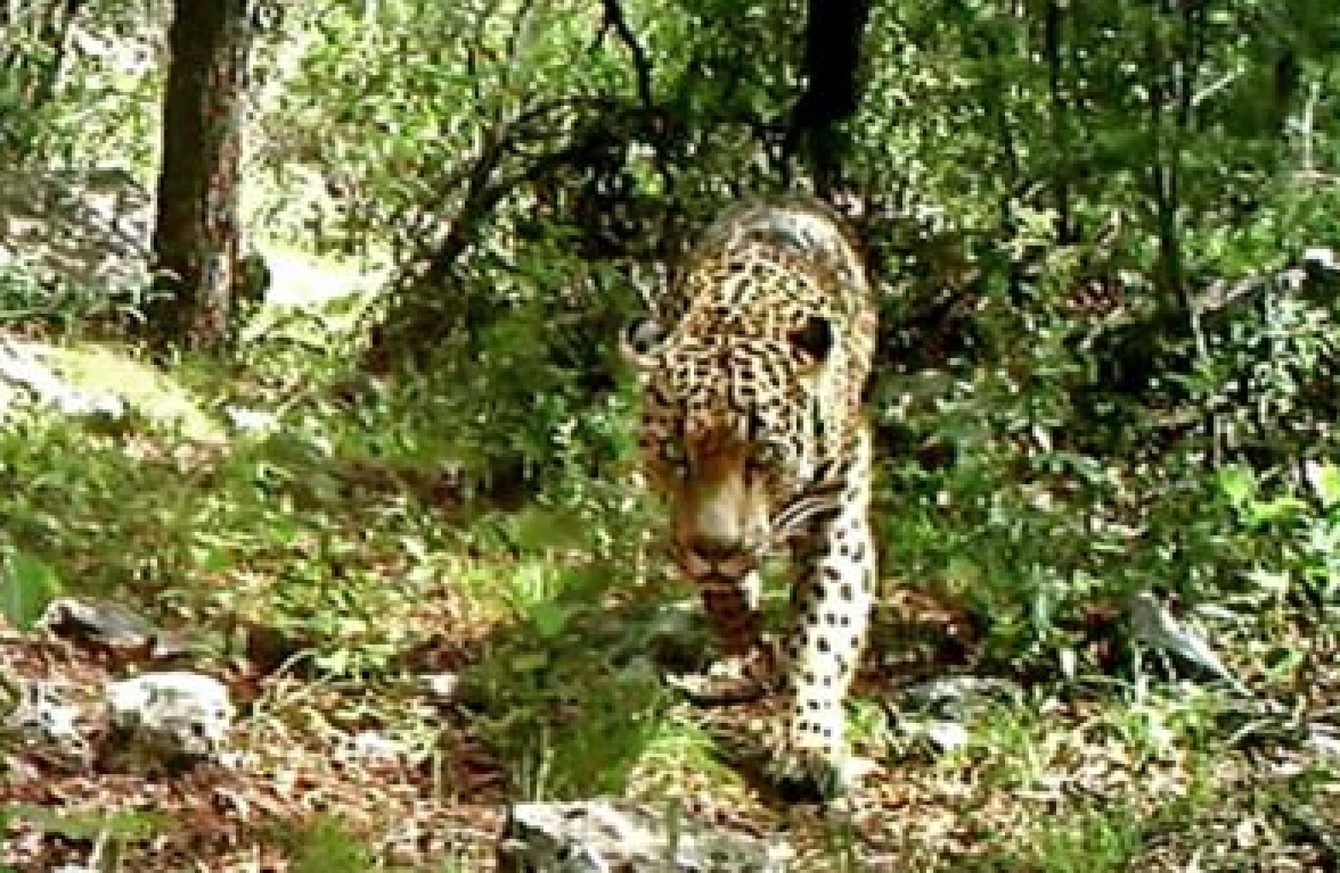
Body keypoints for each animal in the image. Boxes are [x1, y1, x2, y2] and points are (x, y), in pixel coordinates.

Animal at [621, 196, 879, 799]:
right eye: (675, 452)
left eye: (761, 454)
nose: (715, 549)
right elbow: (730, 604)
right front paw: (750, 657)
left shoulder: (838, 518)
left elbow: (824, 631)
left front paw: (810, 745)